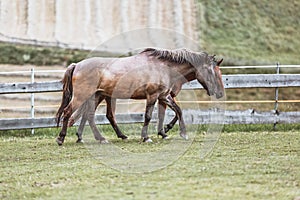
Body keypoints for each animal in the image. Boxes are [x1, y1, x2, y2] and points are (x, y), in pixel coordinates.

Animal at [56, 48, 224, 145]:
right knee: (68, 113)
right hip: (82, 96)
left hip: (96, 96)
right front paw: (146, 137)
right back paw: (61, 138)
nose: (220, 93)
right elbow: (148, 116)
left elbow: (177, 110)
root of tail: (77, 65)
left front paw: (179, 133)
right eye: (212, 72)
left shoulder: (164, 96)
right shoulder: (153, 96)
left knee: (90, 116)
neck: (163, 67)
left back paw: (101, 138)